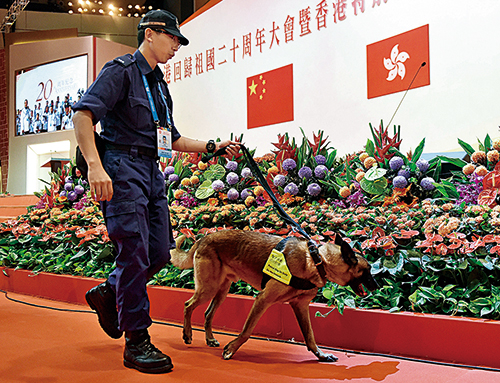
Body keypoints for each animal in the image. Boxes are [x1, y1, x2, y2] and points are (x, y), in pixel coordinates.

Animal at [170, 231, 376, 364]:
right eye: (367, 270)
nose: (377, 285)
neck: (317, 260)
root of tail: (204, 238)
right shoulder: (263, 299)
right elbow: (247, 330)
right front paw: (231, 349)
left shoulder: (300, 307)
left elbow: (309, 336)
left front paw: (320, 355)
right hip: (208, 288)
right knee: (188, 305)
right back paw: (187, 334)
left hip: (220, 292)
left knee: (207, 313)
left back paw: (210, 339)